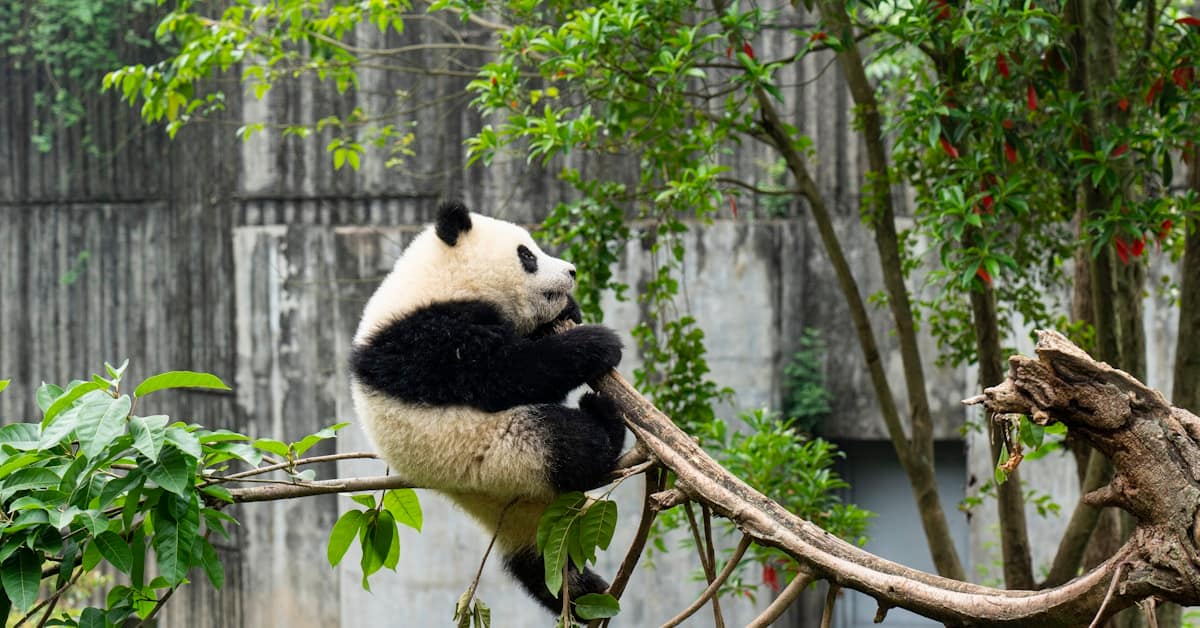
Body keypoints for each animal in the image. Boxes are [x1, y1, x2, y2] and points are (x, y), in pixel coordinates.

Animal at [348, 201, 627, 614]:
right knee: (573, 442)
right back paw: (603, 418)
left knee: (538, 568)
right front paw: (596, 343)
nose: (571, 272)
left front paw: (570, 311)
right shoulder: (425, 340)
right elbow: (503, 374)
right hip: (506, 453)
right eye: (527, 255)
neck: (436, 280)